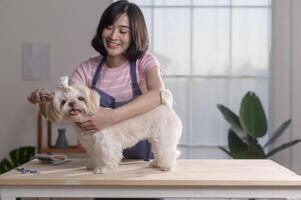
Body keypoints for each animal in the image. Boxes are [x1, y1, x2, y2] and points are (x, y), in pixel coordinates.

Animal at [41, 76, 182, 173]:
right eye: (63, 102)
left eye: (81, 98)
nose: (71, 103)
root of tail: (166, 105)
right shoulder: (93, 145)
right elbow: (95, 155)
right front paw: (92, 165)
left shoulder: (106, 143)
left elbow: (106, 156)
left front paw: (102, 168)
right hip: (155, 139)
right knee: (159, 151)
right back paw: (157, 163)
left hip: (164, 136)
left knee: (169, 151)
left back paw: (166, 166)